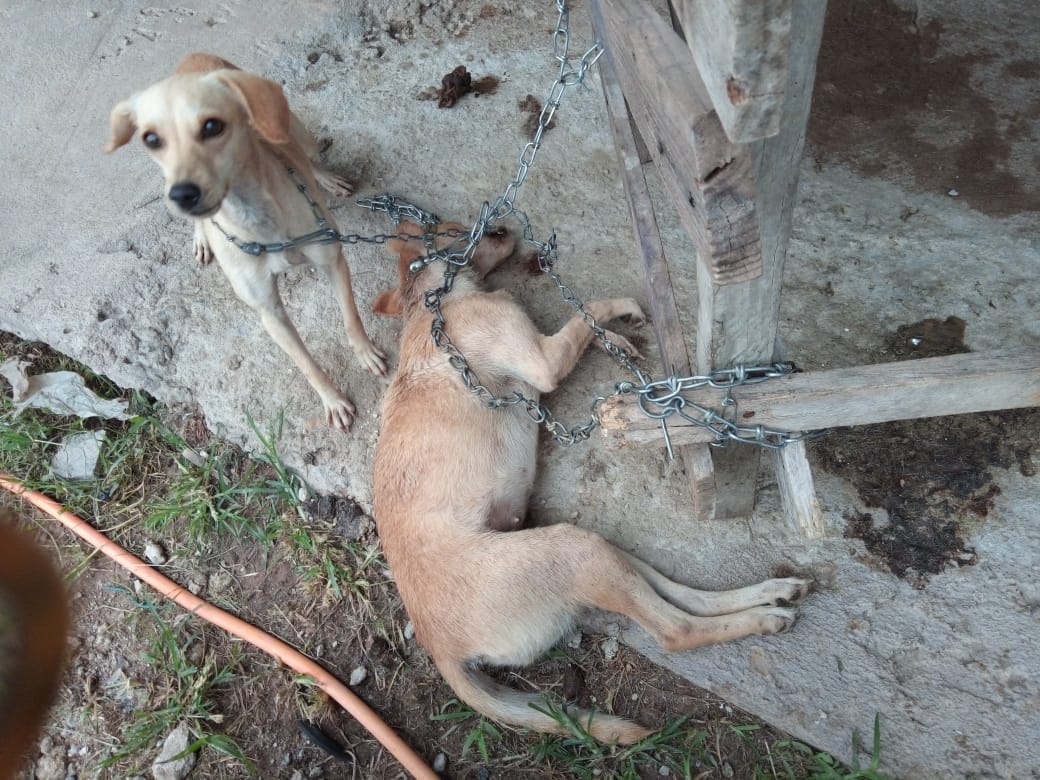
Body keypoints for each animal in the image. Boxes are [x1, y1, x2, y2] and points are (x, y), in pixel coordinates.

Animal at [105, 53, 386, 434]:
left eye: (212, 126)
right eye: (151, 138)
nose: (183, 194)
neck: (259, 224)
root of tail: (192, 58)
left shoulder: (332, 259)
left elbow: (351, 319)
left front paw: (365, 353)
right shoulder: (269, 312)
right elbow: (306, 364)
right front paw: (332, 400)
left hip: (293, 127)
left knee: (305, 153)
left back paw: (325, 178)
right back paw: (201, 236)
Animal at [370, 224, 815, 744]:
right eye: (454, 227)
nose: (504, 228)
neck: (428, 304)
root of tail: (440, 648)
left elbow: (587, 328)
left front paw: (616, 340)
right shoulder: (541, 359)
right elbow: (592, 311)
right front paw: (619, 311)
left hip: (593, 550)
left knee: (681, 594)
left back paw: (773, 593)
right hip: (572, 551)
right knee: (674, 630)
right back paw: (763, 617)